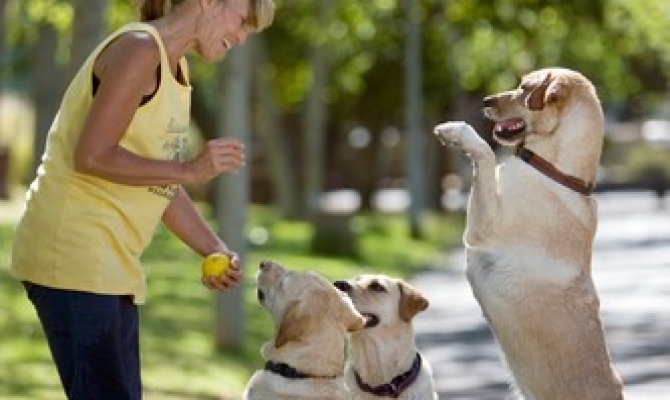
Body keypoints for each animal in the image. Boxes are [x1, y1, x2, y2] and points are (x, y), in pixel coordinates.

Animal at [433, 67, 625, 400]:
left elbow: (485, 154)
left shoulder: (481, 227)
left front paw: (457, 131)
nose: (485, 100)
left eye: (524, 88)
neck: (554, 170)